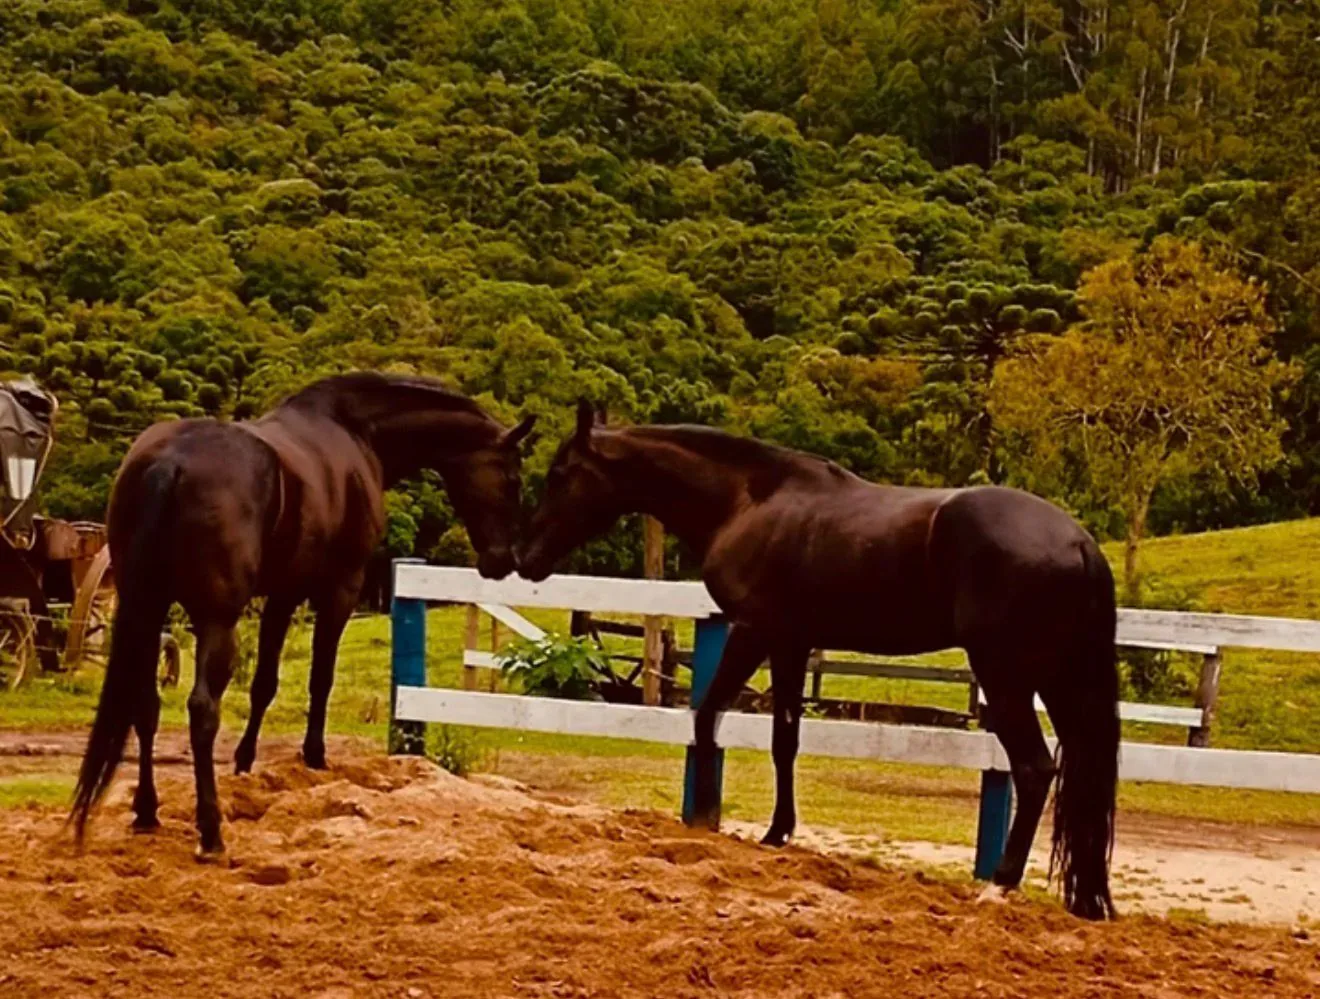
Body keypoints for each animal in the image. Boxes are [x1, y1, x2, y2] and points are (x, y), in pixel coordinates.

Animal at [71, 373, 535, 858]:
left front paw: (245, 762)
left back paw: (147, 811)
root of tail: (170, 462)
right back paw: (211, 831)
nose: (504, 560)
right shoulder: (338, 591)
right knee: (202, 710)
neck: (355, 432)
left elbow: (264, 685)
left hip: (148, 607)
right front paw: (314, 755)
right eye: (513, 479)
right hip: (216, 619)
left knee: (145, 704)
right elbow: (320, 679)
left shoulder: (283, 595)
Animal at [515, 401, 1119, 920]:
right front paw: (770, 831)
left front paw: (717, 820)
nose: (527, 559)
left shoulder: (757, 632)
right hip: (1059, 681)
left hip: (1007, 675)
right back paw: (1086, 900)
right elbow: (777, 735)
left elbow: (713, 717)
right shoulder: (793, 642)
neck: (748, 499)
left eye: (560, 473)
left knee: (1035, 769)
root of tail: (1079, 543)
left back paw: (999, 884)